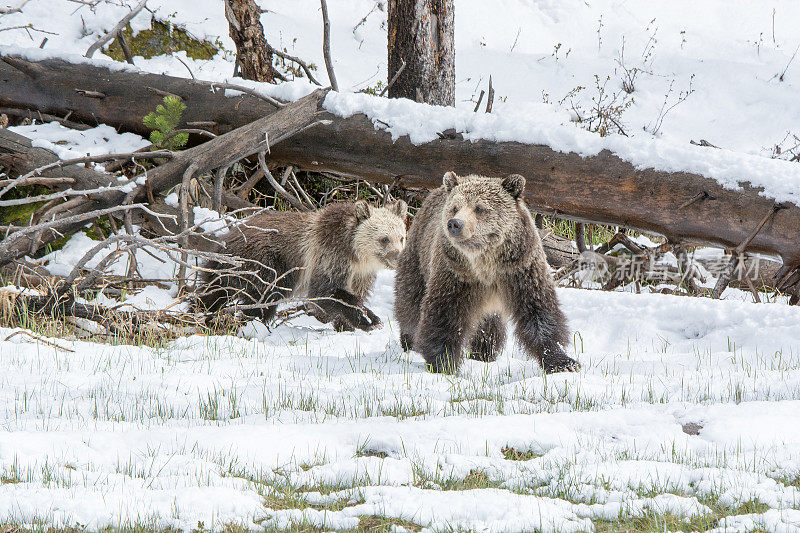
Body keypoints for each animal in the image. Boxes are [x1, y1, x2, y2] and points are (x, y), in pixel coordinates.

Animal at [195, 201, 406, 330]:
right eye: (384, 239)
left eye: (401, 237)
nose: (398, 256)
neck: (356, 254)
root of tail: (225, 239)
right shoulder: (330, 257)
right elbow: (325, 293)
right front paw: (368, 319)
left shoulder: (361, 275)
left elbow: (355, 294)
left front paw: (352, 323)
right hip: (265, 262)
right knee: (266, 294)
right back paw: (255, 323)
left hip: (227, 269)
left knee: (214, 292)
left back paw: (202, 315)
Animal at [396, 172, 580, 372]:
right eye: (455, 207)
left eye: (479, 208)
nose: (455, 224)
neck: (486, 262)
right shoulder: (456, 273)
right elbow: (445, 314)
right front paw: (443, 362)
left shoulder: (520, 268)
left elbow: (538, 312)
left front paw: (563, 362)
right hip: (418, 255)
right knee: (411, 300)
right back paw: (409, 340)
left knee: (489, 326)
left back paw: (484, 353)